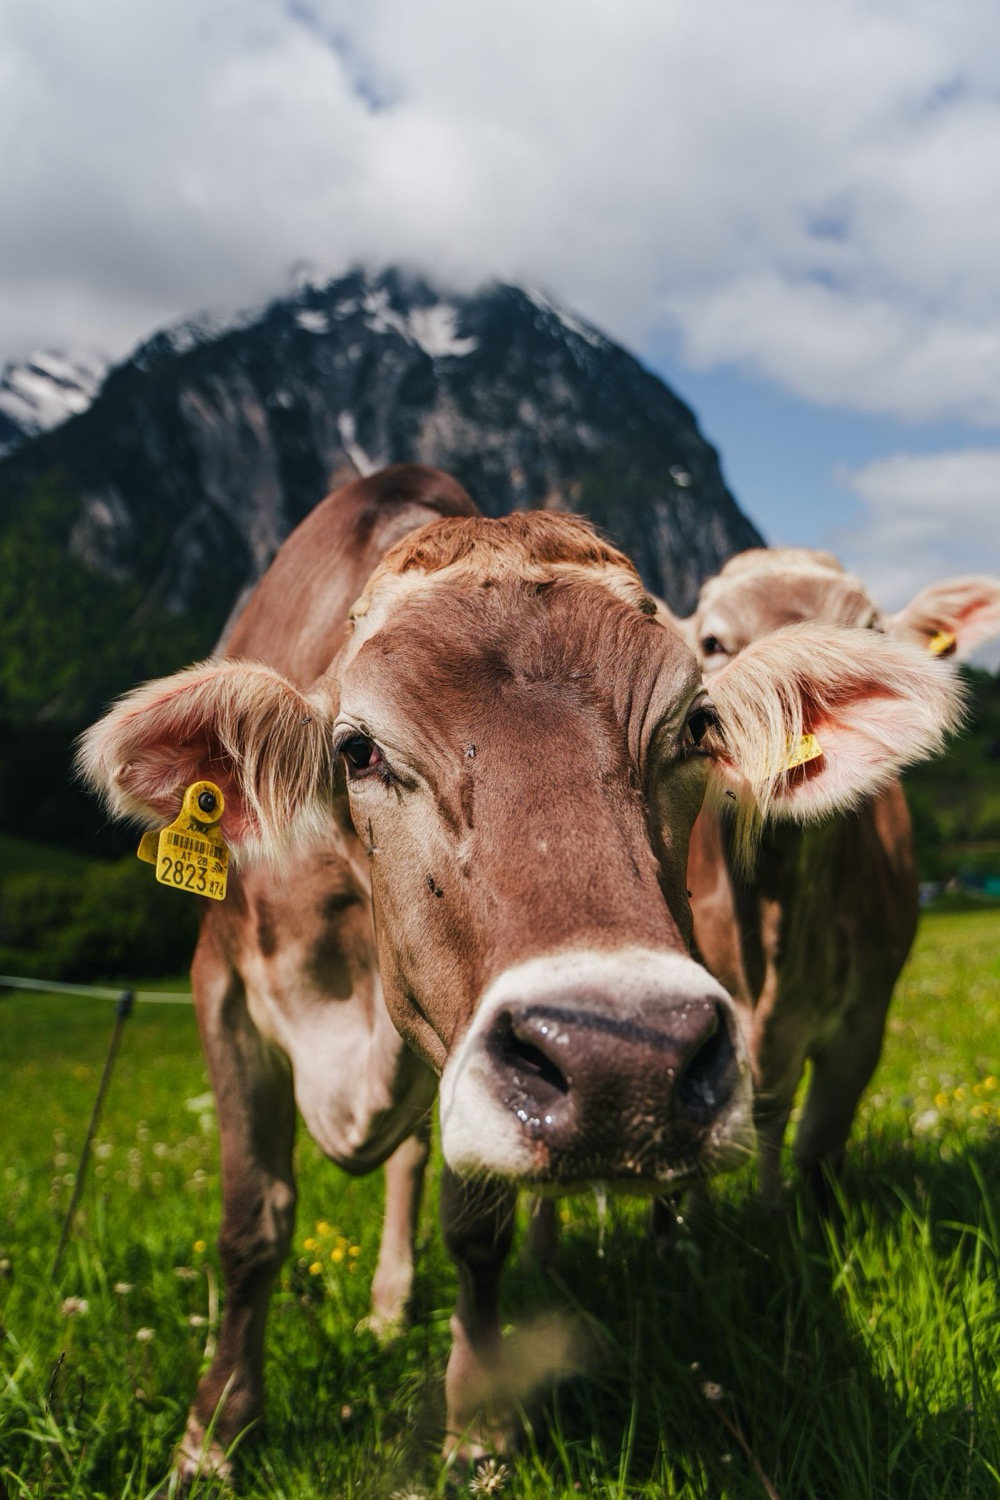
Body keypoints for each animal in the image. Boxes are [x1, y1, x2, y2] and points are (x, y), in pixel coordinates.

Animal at [78, 469, 964, 1482]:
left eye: (697, 728)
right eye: (356, 749)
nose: (627, 1065)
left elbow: (477, 1228)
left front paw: (477, 1420)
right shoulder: (220, 989)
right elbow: (251, 1224)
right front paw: (215, 1431)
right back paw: (387, 1305)